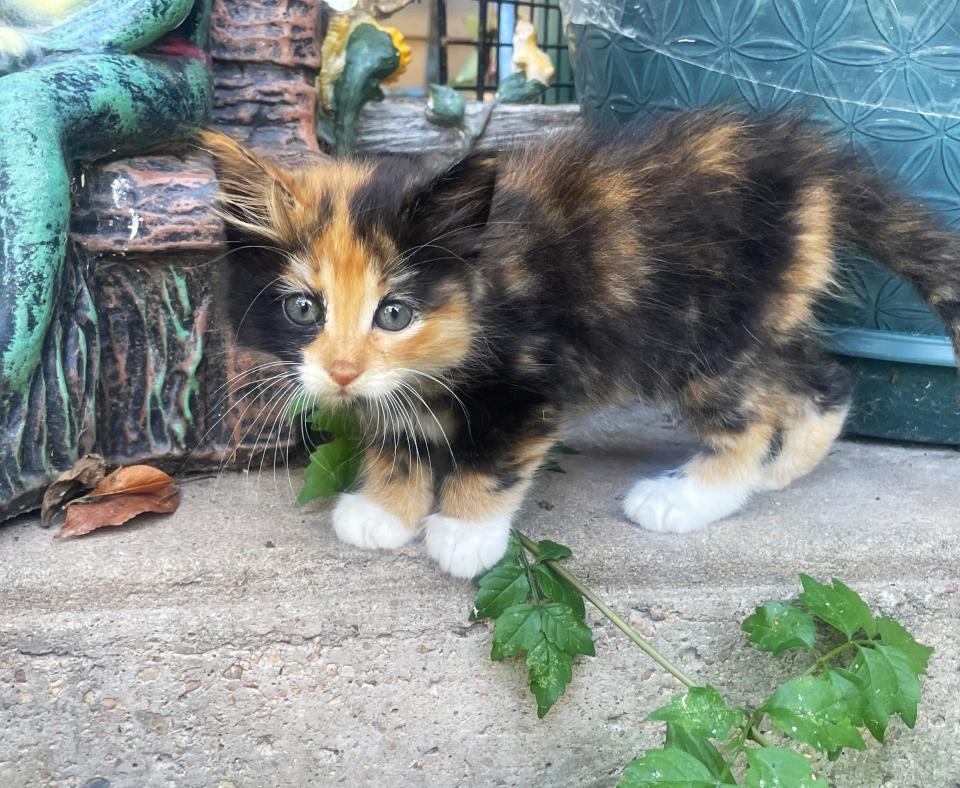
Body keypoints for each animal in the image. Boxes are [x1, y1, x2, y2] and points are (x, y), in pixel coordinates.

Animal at [201, 111, 960, 576]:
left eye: (394, 313)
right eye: (303, 309)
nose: (342, 372)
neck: (483, 285)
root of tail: (806, 163)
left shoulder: (532, 375)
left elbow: (494, 455)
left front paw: (465, 533)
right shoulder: (407, 383)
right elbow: (403, 434)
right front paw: (387, 509)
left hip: (697, 339)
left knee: (751, 417)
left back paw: (696, 495)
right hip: (753, 317)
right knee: (822, 375)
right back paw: (783, 468)